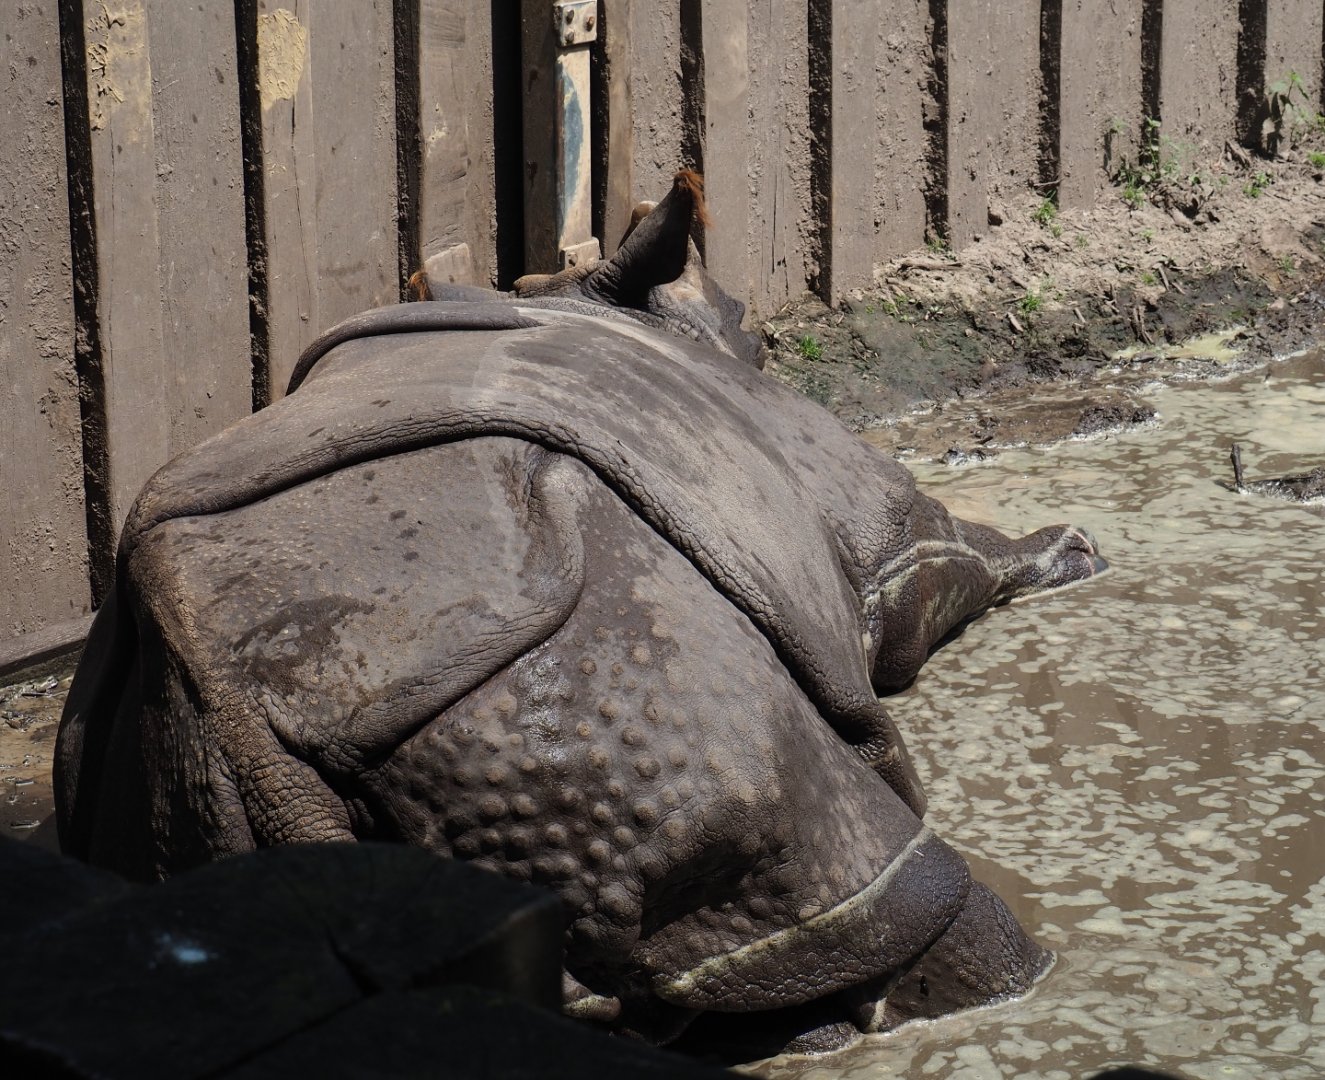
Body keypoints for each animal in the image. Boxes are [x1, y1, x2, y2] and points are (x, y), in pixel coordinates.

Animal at [55, 172, 1105, 1052]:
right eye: (755, 338)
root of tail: (236, 728)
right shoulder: (865, 517)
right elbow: (938, 562)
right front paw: (1071, 554)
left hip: (173, 794)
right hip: (594, 696)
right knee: (878, 875)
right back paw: (1015, 983)